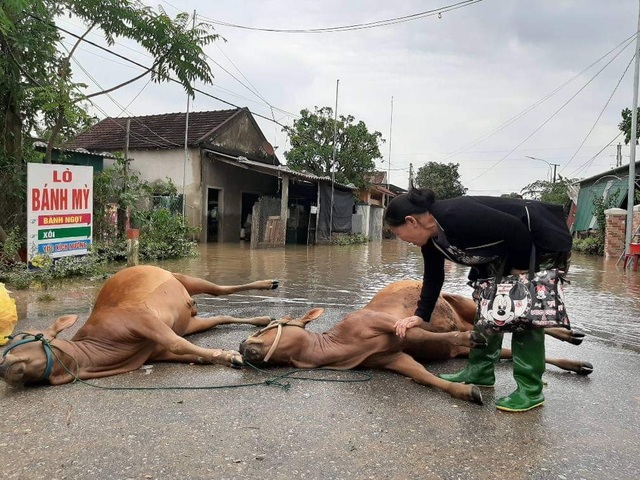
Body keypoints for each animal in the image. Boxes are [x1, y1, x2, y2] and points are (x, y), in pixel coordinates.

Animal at [1, 264, 278, 384]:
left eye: (18, 338)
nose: (2, 367)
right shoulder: (155, 351)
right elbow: (187, 351)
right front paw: (219, 356)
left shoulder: (140, 318)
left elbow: (176, 344)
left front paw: (231, 356)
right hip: (189, 321)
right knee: (219, 317)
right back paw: (263, 319)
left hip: (181, 278)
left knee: (219, 290)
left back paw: (268, 283)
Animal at [241, 278, 596, 404]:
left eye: (264, 327)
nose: (243, 347)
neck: (340, 345)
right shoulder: (390, 358)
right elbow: (422, 376)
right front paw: (466, 391)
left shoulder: (387, 323)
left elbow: (420, 333)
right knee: (507, 348)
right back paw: (576, 363)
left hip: (463, 302)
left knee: (510, 322)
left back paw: (569, 333)